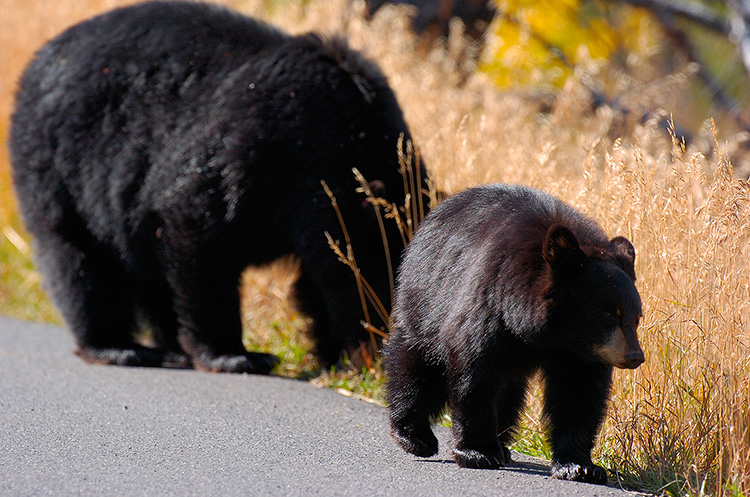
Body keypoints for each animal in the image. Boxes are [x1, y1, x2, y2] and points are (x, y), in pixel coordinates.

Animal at [10, 0, 428, 372]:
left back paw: (170, 347)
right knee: (81, 261)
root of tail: (36, 60)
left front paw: (334, 355)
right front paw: (237, 356)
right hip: (60, 167)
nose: (383, 351)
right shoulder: (254, 150)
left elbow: (315, 279)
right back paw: (117, 347)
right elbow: (198, 235)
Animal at [388, 184, 648, 482]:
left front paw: (580, 466)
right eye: (608, 313)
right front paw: (477, 453)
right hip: (426, 297)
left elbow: (578, 393)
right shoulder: (490, 306)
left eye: (636, 317)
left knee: (508, 391)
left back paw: (502, 446)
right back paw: (414, 436)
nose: (635, 356)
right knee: (416, 365)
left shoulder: (579, 353)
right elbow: (474, 372)